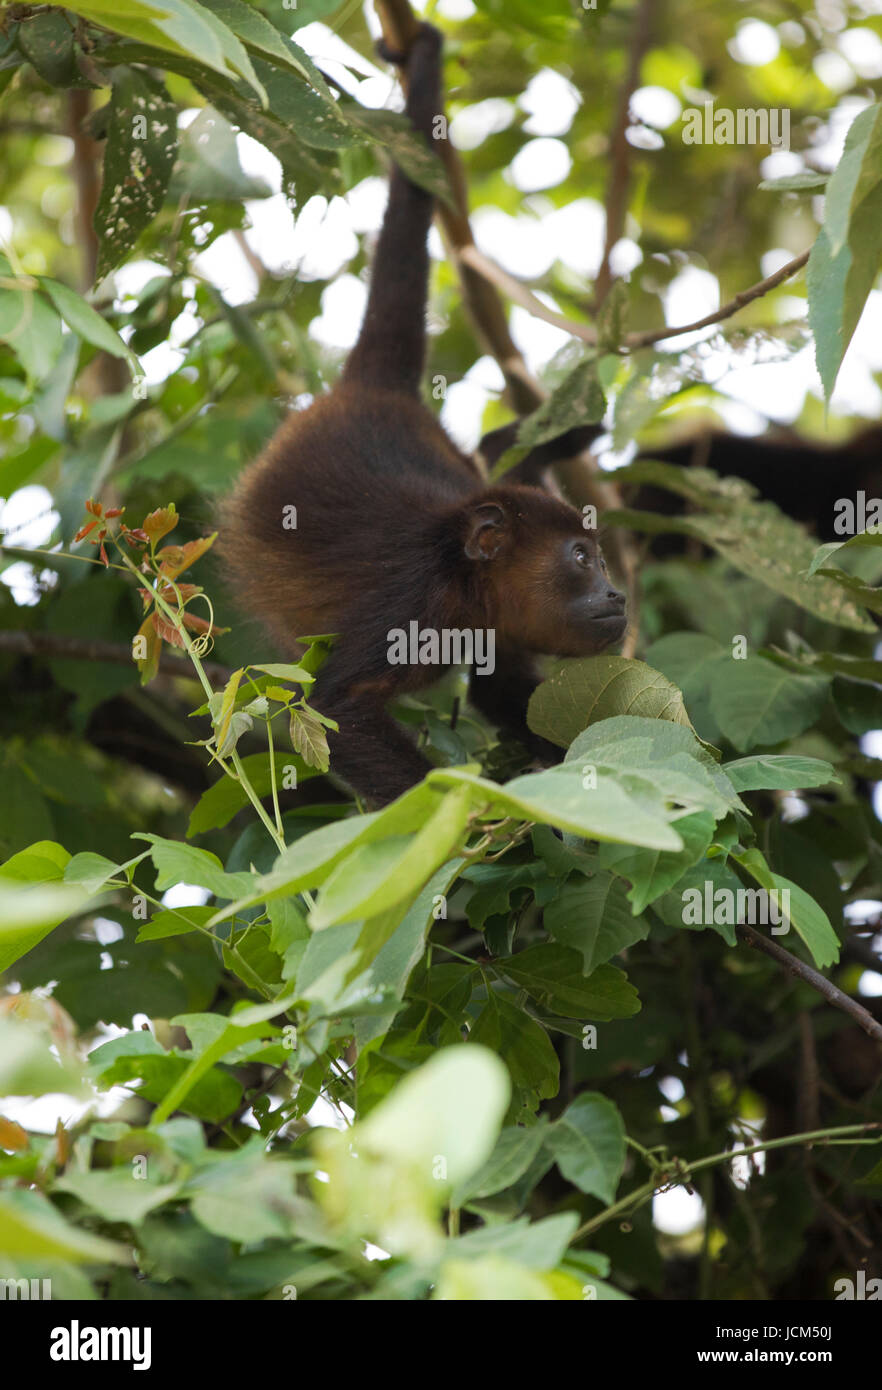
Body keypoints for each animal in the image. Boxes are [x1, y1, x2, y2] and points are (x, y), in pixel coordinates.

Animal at [218, 19, 625, 806]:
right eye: (581, 557)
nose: (617, 590)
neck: (462, 581)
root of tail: (374, 392)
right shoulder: (408, 602)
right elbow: (334, 707)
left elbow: (505, 691)